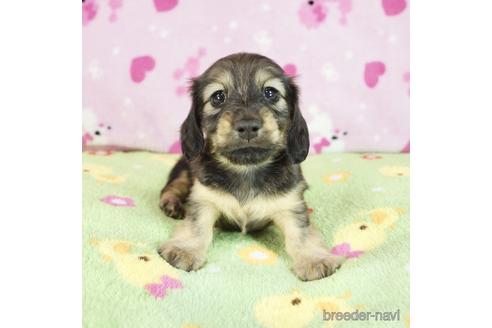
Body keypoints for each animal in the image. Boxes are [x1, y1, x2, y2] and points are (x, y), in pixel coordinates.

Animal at [158, 52, 342, 280]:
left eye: (270, 93)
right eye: (218, 96)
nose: (247, 126)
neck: (246, 169)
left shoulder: (290, 204)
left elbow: (301, 234)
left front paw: (313, 259)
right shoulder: (204, 199)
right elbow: (197, 226)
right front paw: (185, 249)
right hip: (184, 169)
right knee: (172, 186)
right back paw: (172, 203)